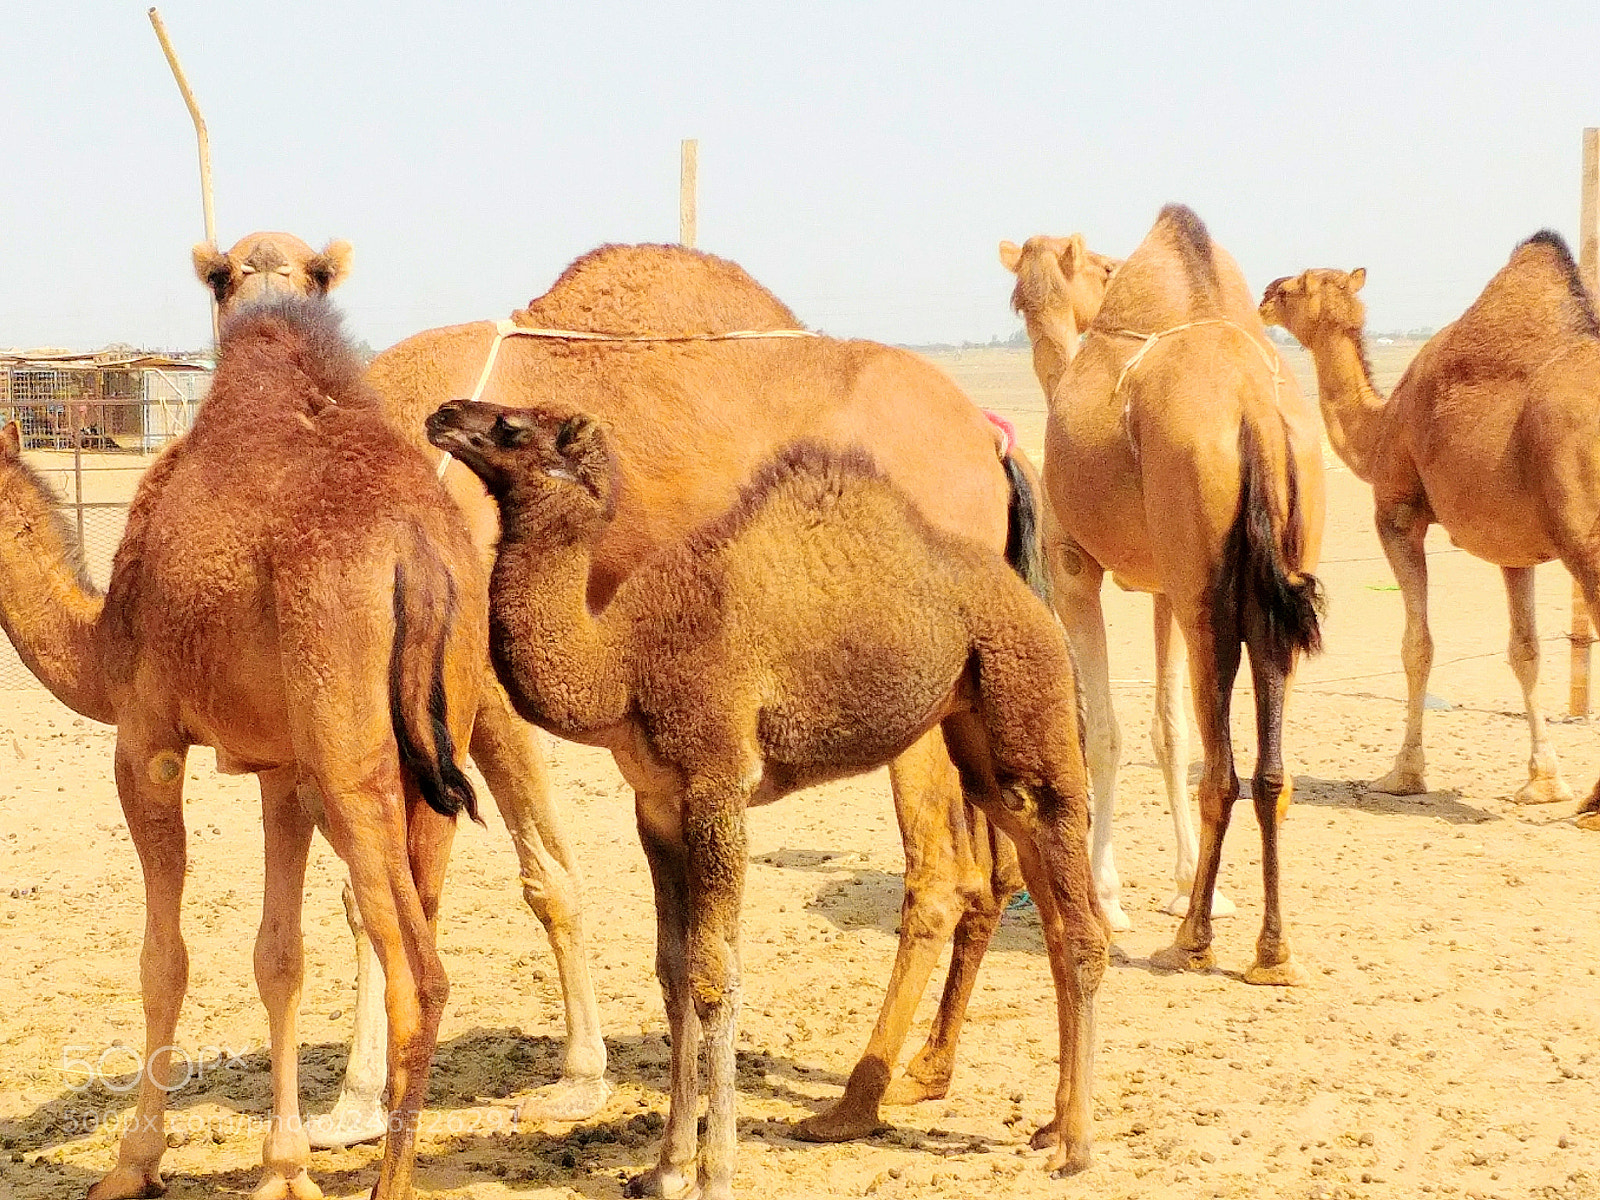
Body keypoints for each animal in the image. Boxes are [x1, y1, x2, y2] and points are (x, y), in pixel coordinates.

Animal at [0, 295, 486, 1199]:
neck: (101, 640)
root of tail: (417, 550)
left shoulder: (146, 739)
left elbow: (164, 959)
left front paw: (133, 1162)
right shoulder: (281, 768)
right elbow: (279, 958)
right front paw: (284, 1168)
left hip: (351, 759)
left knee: (422, 975)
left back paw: (389, 1183)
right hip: (435, 744)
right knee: (426, 930)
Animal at [194, 231, 610, 1146]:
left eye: (315, 274)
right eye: (223, 276)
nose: (272, 300)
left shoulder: (477, 708)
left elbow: (542, 873)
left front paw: (582, 1079)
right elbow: (365, 899)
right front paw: (354, 1103)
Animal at [427, 398, 1108, 1197]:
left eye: (511, 428)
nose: (442, 415)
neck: (622, 662)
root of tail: (1026, 597)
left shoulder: (718, 788)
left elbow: (715, 976)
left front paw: (714, 1171)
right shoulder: (657, 808)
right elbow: (672, 971)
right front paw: (665, 1167)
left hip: (1028, 685)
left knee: (1076, 907)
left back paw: (1076, 1145)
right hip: (975, 736)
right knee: (1043, 887)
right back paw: (1049, 1123)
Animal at [1008, 206, 1327, 982]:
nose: (1029, 306)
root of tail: (1252, 408)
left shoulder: (1073, 568)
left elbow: (1103, 732)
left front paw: (1105, 896)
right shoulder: (1161, 588)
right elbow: (1168, 729)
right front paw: (1182, 883)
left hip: (1204, 591)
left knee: (1224, 770)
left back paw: (1193, 938)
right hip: (1263, 584)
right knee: (1267, 768)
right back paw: (1271, 951)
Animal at [1260, 232, 1600, 830]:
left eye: (1296, 285)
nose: (1264, 293)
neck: (1380, 425)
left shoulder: (1399, 512)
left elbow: (1417, 645)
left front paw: (1403, 775)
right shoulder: (1513, 545)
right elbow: (1526, 651)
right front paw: (1544, 783)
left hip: (1584, 535)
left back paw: (1596, 808)